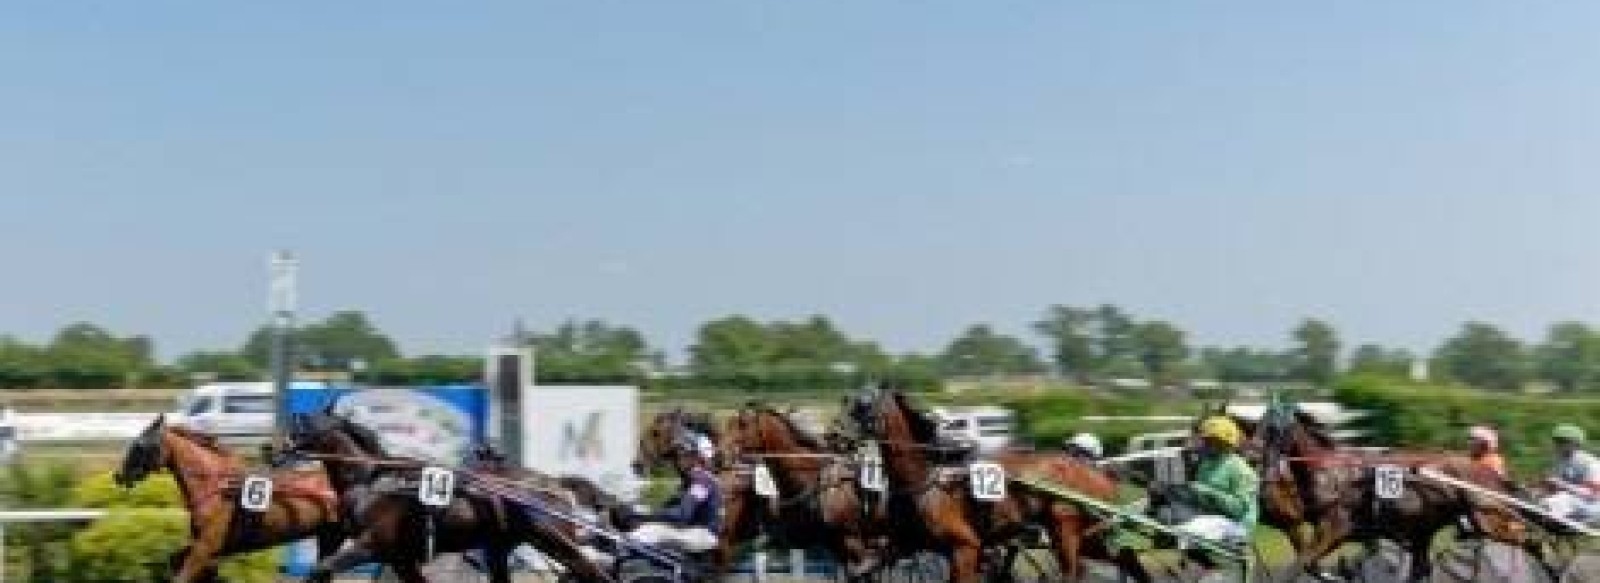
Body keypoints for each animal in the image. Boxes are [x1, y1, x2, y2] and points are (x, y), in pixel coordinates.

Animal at [112, 413, 344, 583]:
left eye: (139, 445)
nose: (119, 476)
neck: (217, 486)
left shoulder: (207, 546)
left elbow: (183, 575)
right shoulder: (208, 547)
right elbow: (176, 560)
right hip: (327, 535)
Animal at [284, 410, 614, 583]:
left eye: (301, 424)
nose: (275, 448)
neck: (373, 483)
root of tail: (553, 483)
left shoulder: (373, 545)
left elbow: (321, 568)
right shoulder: (400, 558)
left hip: (558, 544)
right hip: (498, 548)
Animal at [838, 387, 1152, 583]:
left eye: (863, 407)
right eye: (847, 402)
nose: (835, 434)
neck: (927, 479)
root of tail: (1097, 471)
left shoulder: (965, 546)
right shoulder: (907, 544)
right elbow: (864, 568)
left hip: (1065, 527)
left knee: (1076, 570)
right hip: (1089, 533)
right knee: (1125, 558)